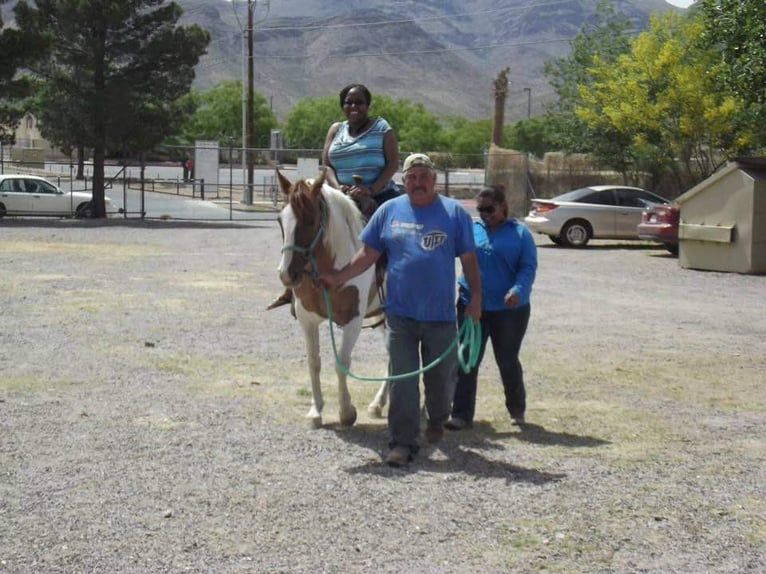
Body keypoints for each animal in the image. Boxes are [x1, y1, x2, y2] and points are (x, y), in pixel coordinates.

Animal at [276, 169, 390, 430]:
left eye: (310, 220)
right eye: (280, 220)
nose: (286, 274)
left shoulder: (353, 321)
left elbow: (342, 363)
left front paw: (346, 412)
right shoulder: (307, 320)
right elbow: (314, 362)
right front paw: (315, 410)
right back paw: (378, 403)